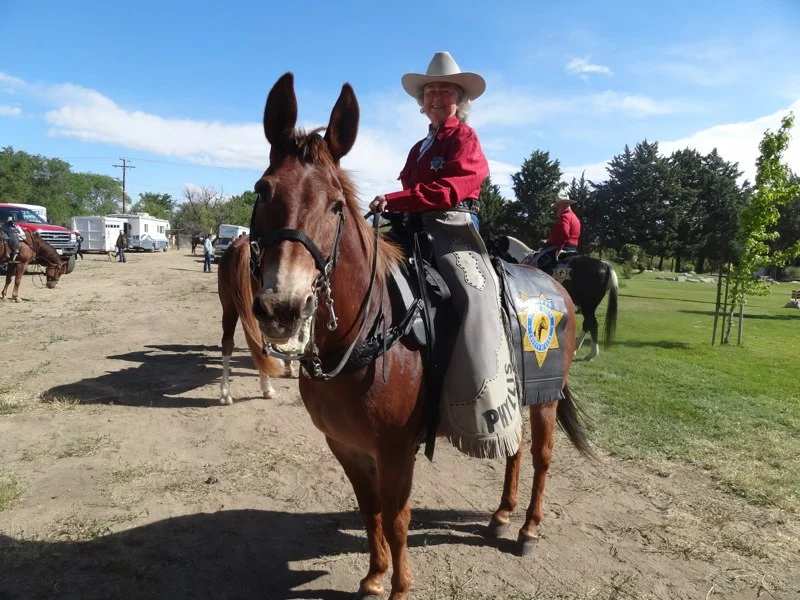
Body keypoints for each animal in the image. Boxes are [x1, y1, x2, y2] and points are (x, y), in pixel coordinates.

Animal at [217, 235, 303, 405]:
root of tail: (242, 246)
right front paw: (289, 365)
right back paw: (267, 388)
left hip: (229, 306)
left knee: (228, 344)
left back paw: (225, 392)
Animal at [247, 73, 592, 599]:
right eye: (263, 191)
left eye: (335, 205)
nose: (284, 306)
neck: (367, 332)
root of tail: (555, 284)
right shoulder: (345, 445)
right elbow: (370, 511)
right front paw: (373, 577)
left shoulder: (395, 451)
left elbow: (397, 518)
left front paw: (399, 586)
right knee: (513, 449)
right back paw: (502, 514)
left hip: (547, 398)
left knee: (542, 456)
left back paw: (529, 528)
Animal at [487, 235, 618, 361]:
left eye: (490, 247)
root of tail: (605, 265)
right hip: (588, 306)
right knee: (588, 324)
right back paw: (575, 349)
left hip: (587, 306)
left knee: (593, 325)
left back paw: (591, 354)